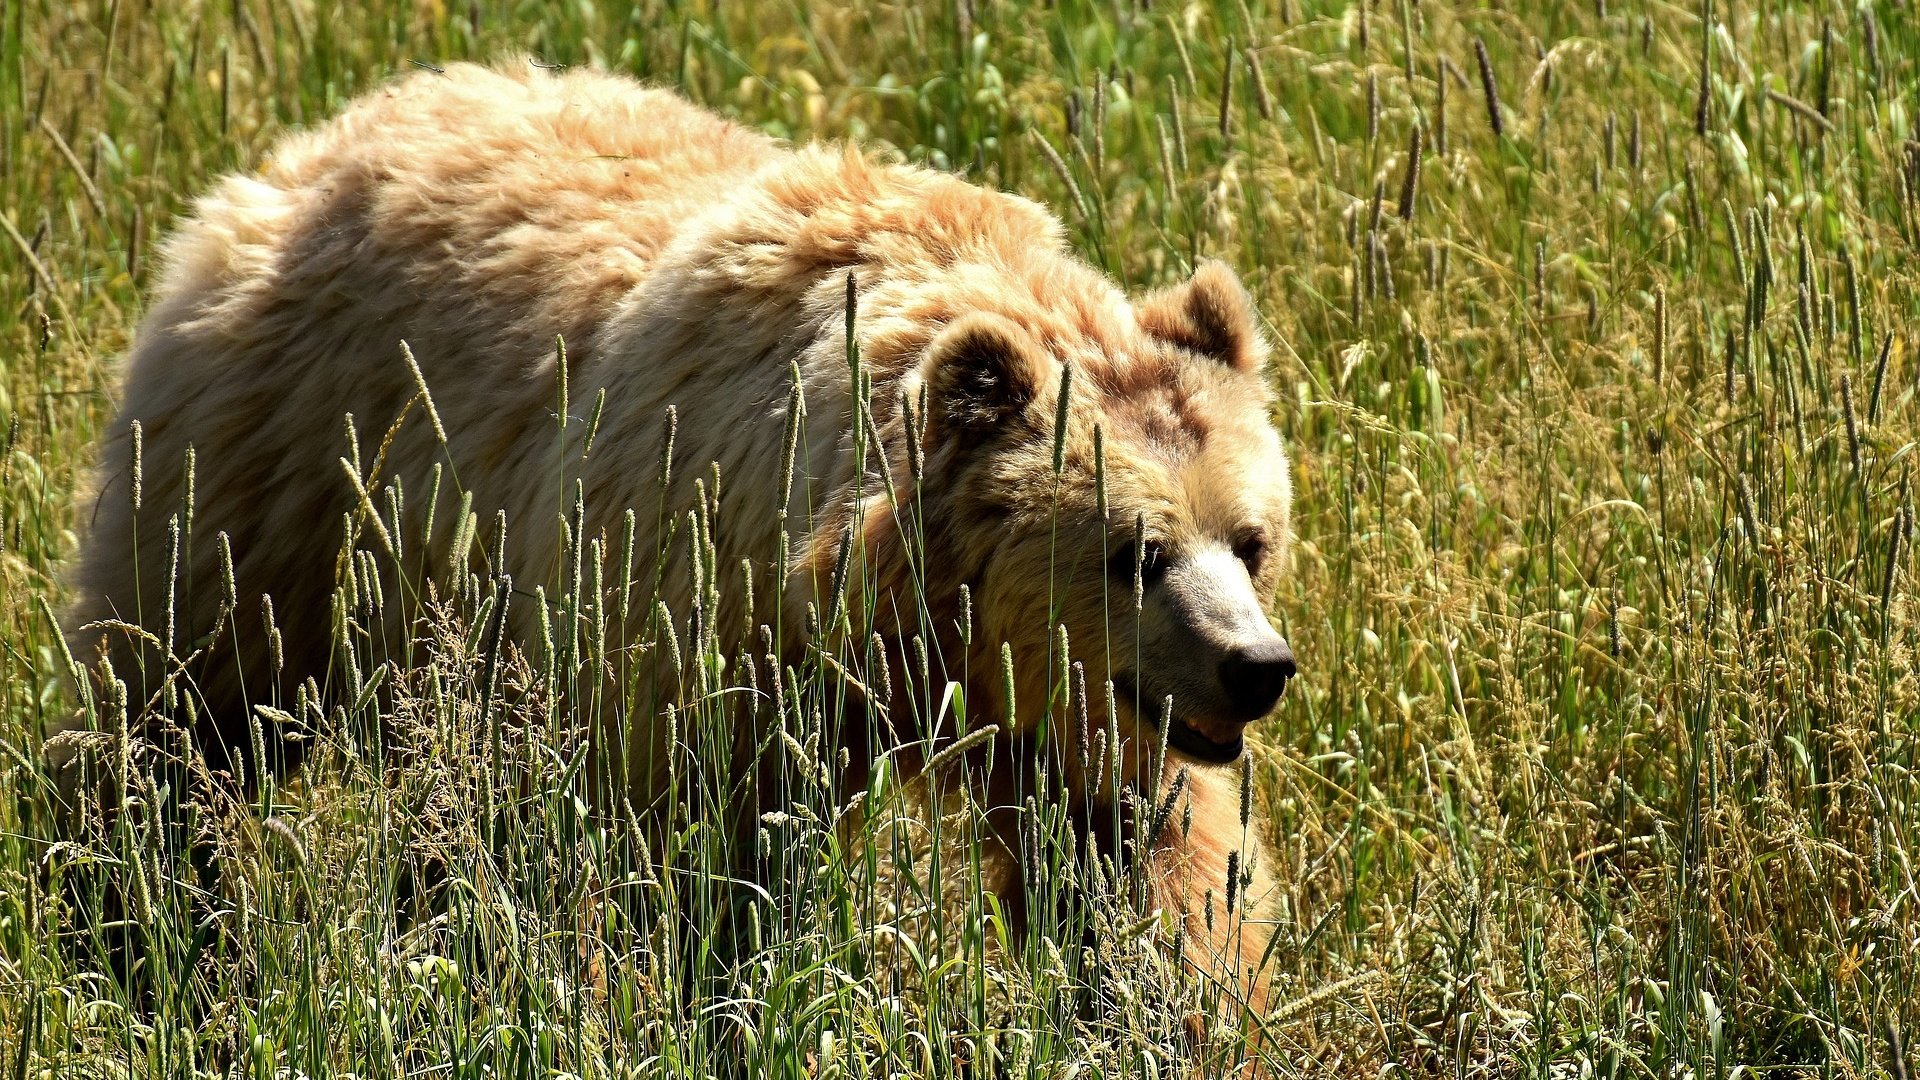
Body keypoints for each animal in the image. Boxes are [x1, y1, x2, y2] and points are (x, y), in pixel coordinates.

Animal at [60, 65, 1297, 1022]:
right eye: (1135, 552)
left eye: (1251, 539)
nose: (1257, 667)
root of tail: (331, 135)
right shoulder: (696, 622)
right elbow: (704, 859)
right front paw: (713, 996)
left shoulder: (1083, 720)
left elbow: (1145, 862)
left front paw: (1162, 1003)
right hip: (279, 481)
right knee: (178, 715)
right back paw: (139, 931)